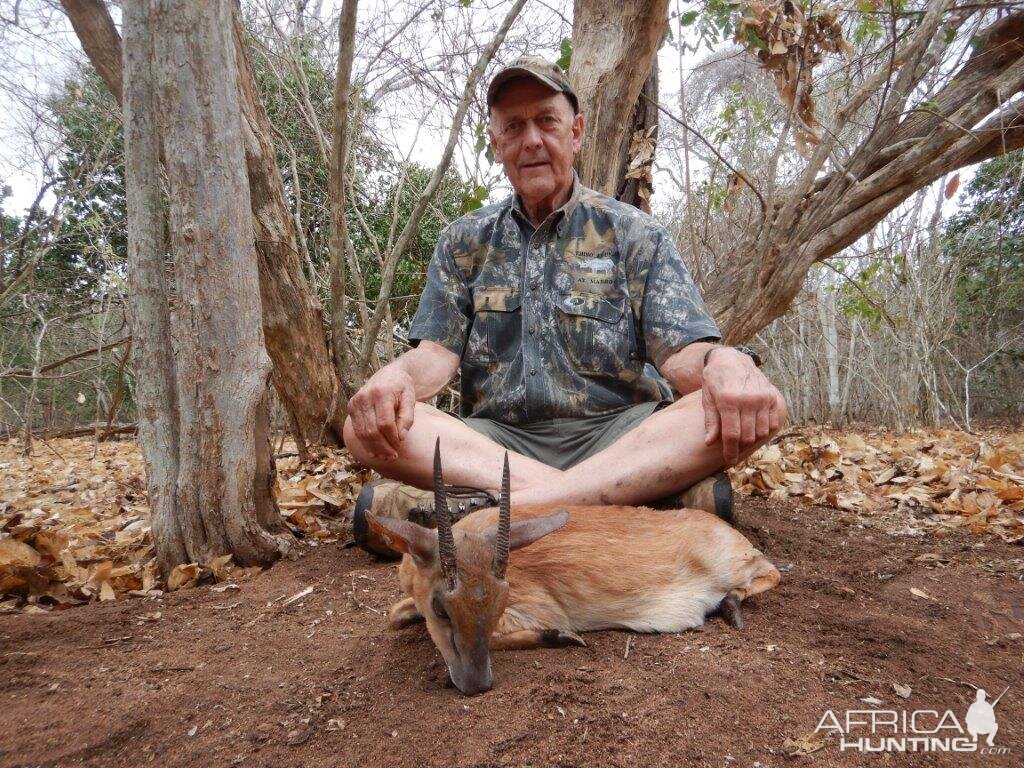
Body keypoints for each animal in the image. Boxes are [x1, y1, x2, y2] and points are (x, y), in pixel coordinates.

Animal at [370, 438, 782, 696]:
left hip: (738, 566)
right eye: (441, 608)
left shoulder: (535, 608)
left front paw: (562, 637)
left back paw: (731, 607)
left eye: (501, 600)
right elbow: (395, 614)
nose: (476, 685)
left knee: (771, 571)